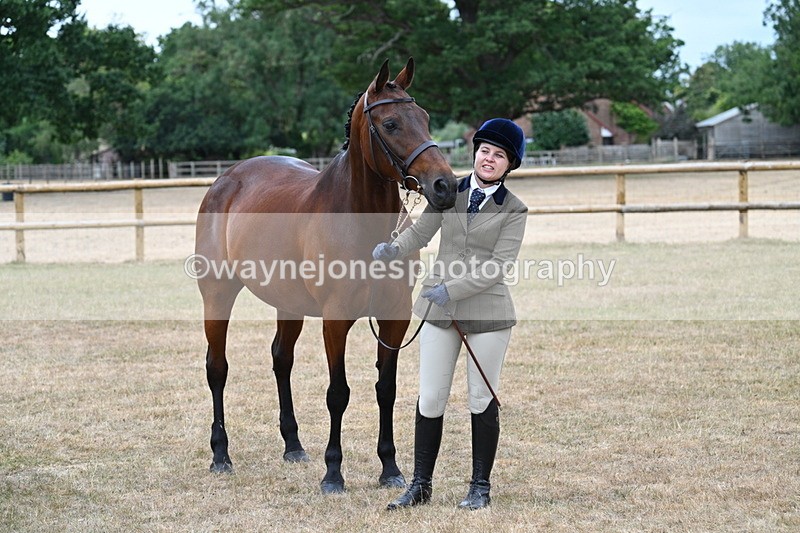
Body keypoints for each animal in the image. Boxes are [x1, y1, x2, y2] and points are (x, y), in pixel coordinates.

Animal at [194, 57, 458, 494]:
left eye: (424, 117)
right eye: (391, 124)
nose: (446, 186)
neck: (359, 220)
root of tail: (226, 179)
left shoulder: (395, 317)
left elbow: (385, 389)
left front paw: (390, 468)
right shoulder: (335, 320)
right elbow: (338, 393)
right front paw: (333, 473)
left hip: (288, 304)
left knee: (281, 359)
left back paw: (293, 446)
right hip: (218, 295)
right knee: (217, 368)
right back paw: (220, 456)